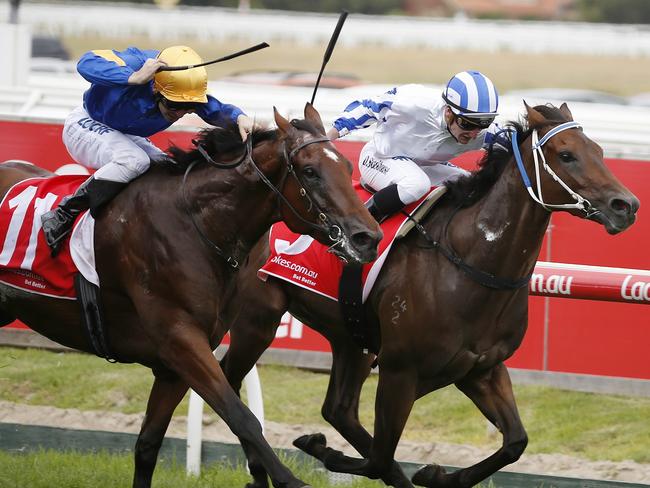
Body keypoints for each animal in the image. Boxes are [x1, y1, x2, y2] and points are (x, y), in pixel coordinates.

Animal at [0, 104, 382, 488]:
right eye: (310, 172)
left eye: (347, 167)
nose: (368, 237)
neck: (196, 223)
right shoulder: (180, 340)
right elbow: (241, 416)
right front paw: (290, 480)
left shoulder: (174, 365)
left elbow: (148, 443)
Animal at [218, 101, 636, 486]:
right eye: (566, 155)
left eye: (599, 151)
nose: (626, 205)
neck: (471, 263)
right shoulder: (400, 371)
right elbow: (380, 459)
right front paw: (325, 450)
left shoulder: (481, 369)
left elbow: (515, 442)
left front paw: (435, 474)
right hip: (258, 319)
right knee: (230, 380)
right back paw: (261, 469)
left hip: (350, 335)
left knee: (338, 409)